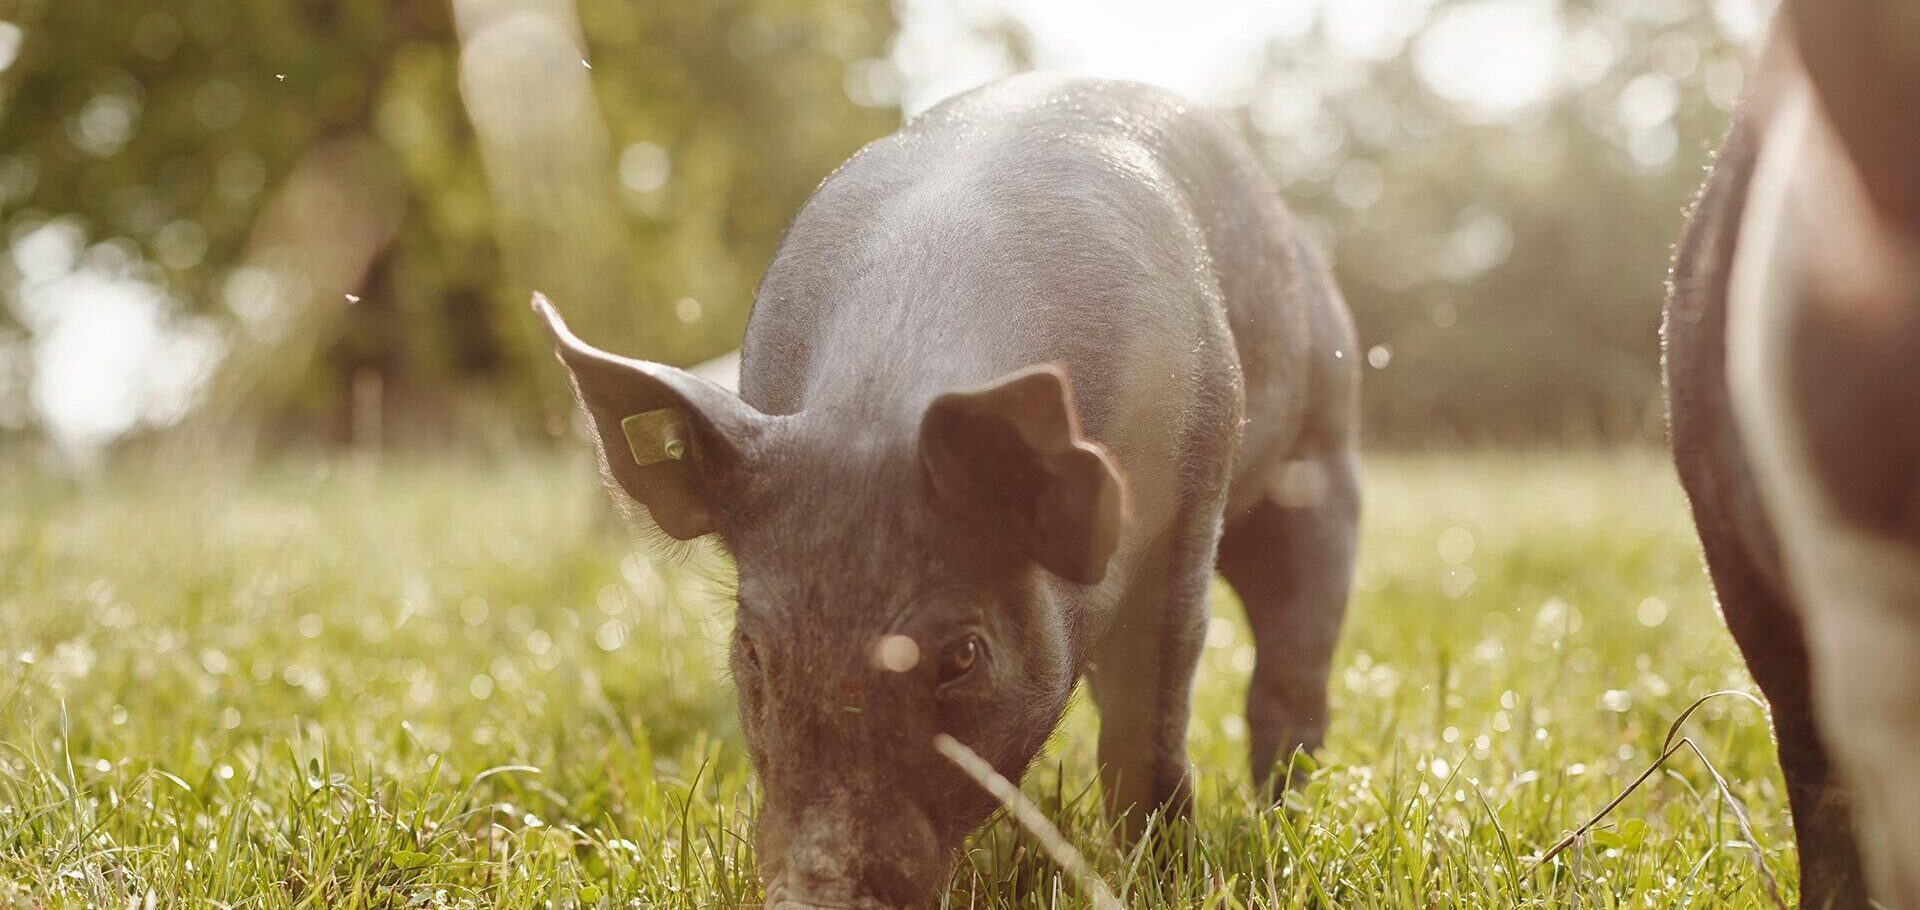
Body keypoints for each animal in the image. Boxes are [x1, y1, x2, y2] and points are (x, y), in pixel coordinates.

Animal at [533, 74, 1359, 906]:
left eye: (962, 653)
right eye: (750, 648)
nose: (814, 892)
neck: (880, 399)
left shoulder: (1186, 512)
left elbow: (1147, 730)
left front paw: (1163, 879)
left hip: (1322, 449)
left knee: (1293, 667)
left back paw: (1285, 817)